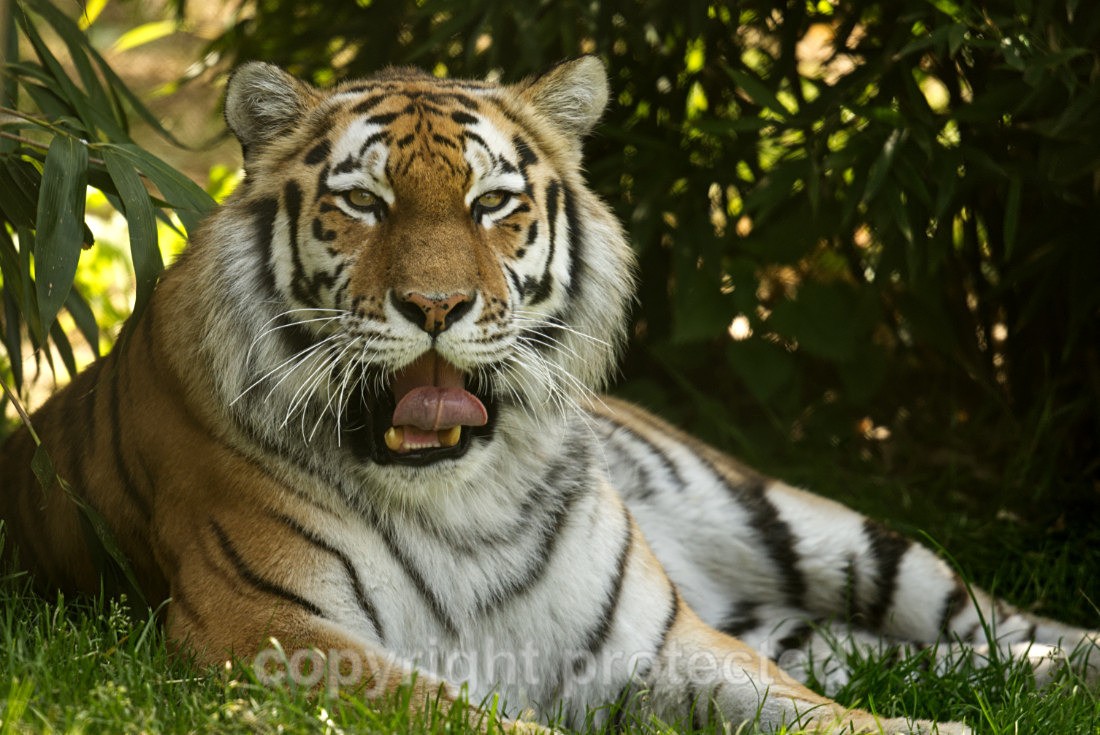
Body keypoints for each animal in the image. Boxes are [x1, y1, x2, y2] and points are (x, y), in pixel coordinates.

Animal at [0, 56, 1096, 734]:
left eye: (492, 203)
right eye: (363, 203)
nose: (435, 305)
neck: (462, 498)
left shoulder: (665, 644)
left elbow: (818, 712)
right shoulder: (269, 634)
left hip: (811, 529)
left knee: (987, 624)